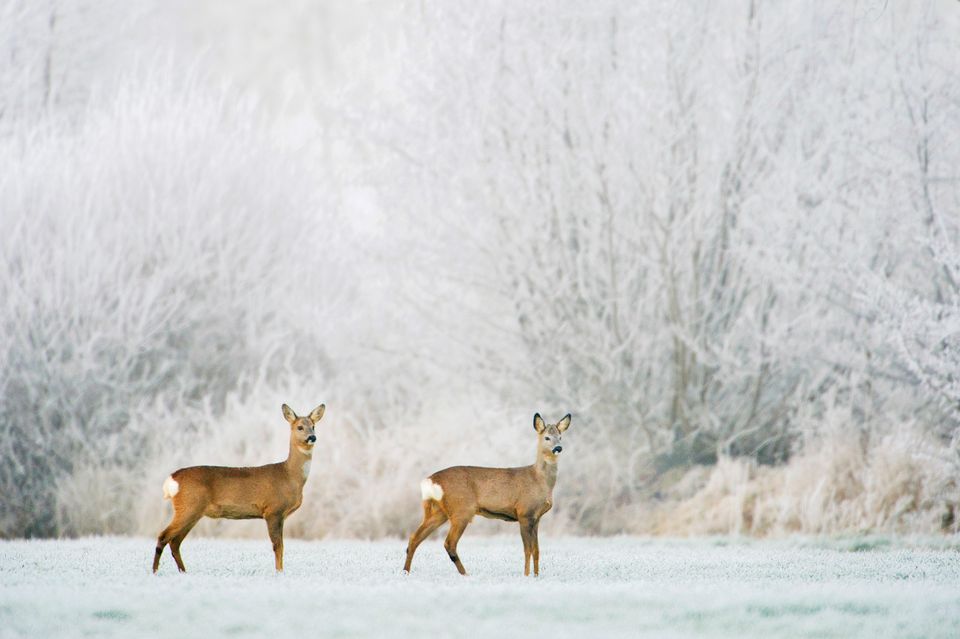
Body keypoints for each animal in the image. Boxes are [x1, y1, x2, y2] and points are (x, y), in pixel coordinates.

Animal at [152, 403, 325, 574]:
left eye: (313, 426)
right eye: (300, 427)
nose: (312, 437)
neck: (289, 476)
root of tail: (172, 479)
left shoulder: (279, 514)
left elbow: (280, 546)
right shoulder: (272, 510)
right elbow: (278, 546)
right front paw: (279, 573)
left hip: (193, 511)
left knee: (175, 542)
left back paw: (183, 571)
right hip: (189, 506)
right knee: (163, 536)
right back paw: (155, 571)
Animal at [403, 412, 571, 577]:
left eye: (560, 437)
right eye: (547, 437)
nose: (558, 448)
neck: (539, 480)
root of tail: (430, 480)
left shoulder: (536, 517)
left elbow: (536, 550)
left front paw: (536, 576)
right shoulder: (524, 512)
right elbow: (527, 550)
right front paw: (527, 576)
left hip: (439, 511)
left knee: (414, 537)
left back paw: (405, 572)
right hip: (462, 509)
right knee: (449, 543)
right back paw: (465, 574)